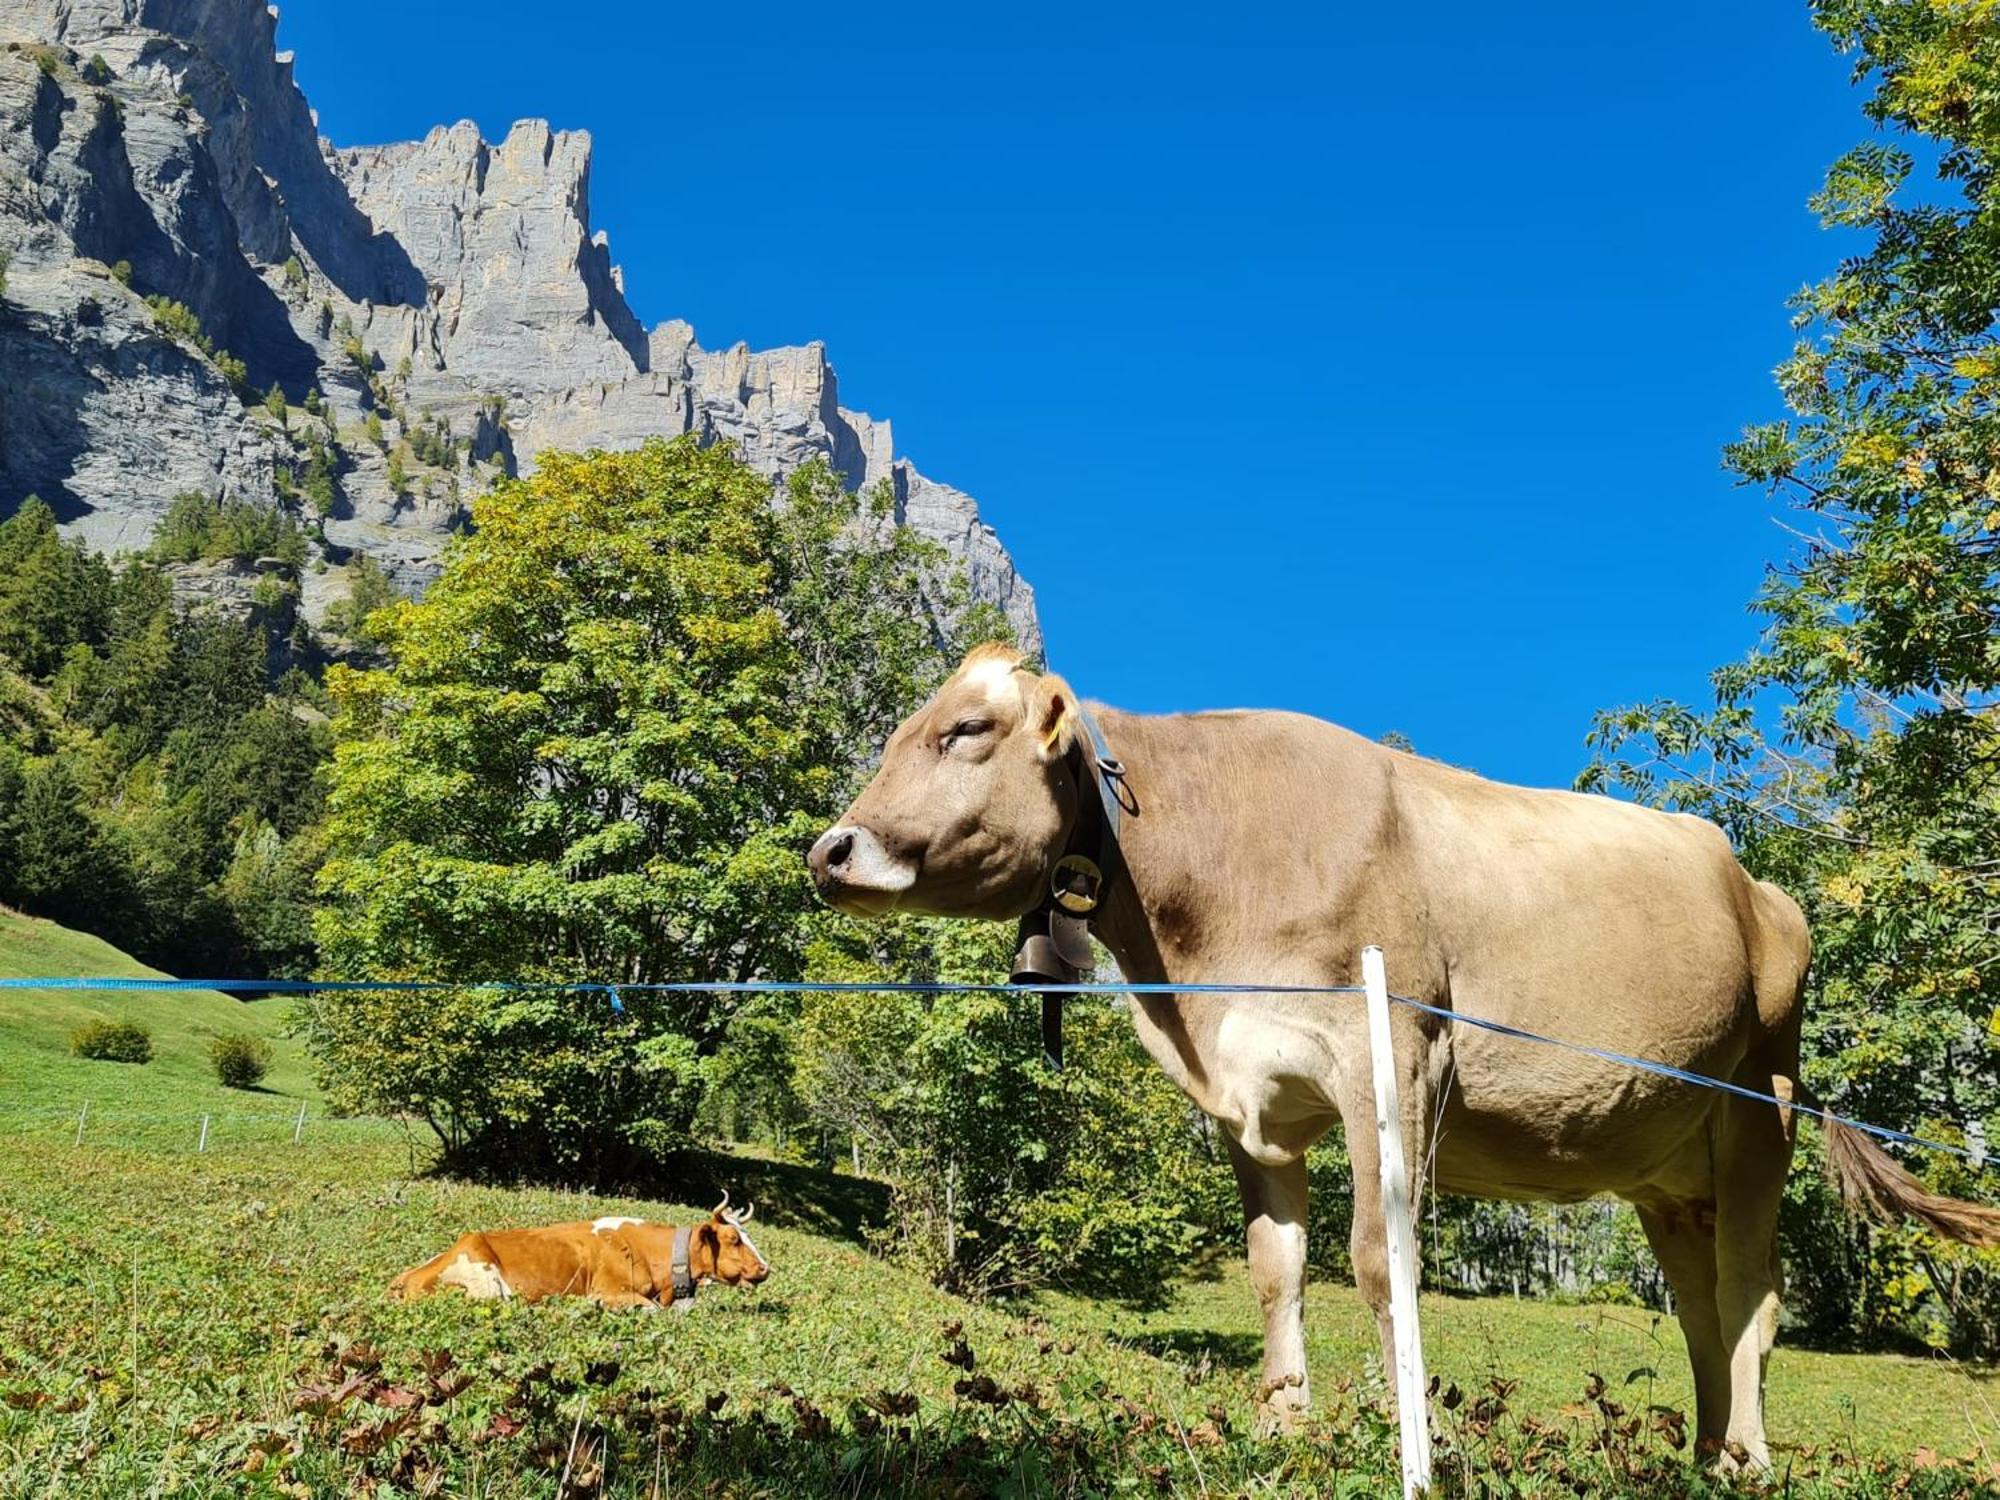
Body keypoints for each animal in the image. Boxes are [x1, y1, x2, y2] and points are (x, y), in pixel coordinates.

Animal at [804, 648, 2000, 1472]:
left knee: (1751, 1292)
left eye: (966, 729)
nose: (829, 850)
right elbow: (1276, 1264)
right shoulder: (1250, 1102)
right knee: (1703, 1304)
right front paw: (1282, 1424)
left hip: (1759, 1105)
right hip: (1668, 1168)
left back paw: (1746, 1460)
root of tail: (1756, 883)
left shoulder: (1397, 1053)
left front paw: (1415, 1436)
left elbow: (1383, 1261)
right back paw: (1704, 1457)